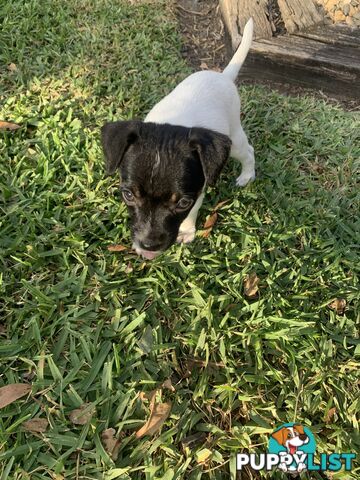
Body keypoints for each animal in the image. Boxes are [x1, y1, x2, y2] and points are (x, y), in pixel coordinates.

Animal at [100, 18, 256, 258]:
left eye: (182, 202)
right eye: (128, 195)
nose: (149, 246)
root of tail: (223, 76)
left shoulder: (197, 190)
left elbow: (192, 212)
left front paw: (186, 231)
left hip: (234, 139)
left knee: (248, 152)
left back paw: (247, 176)